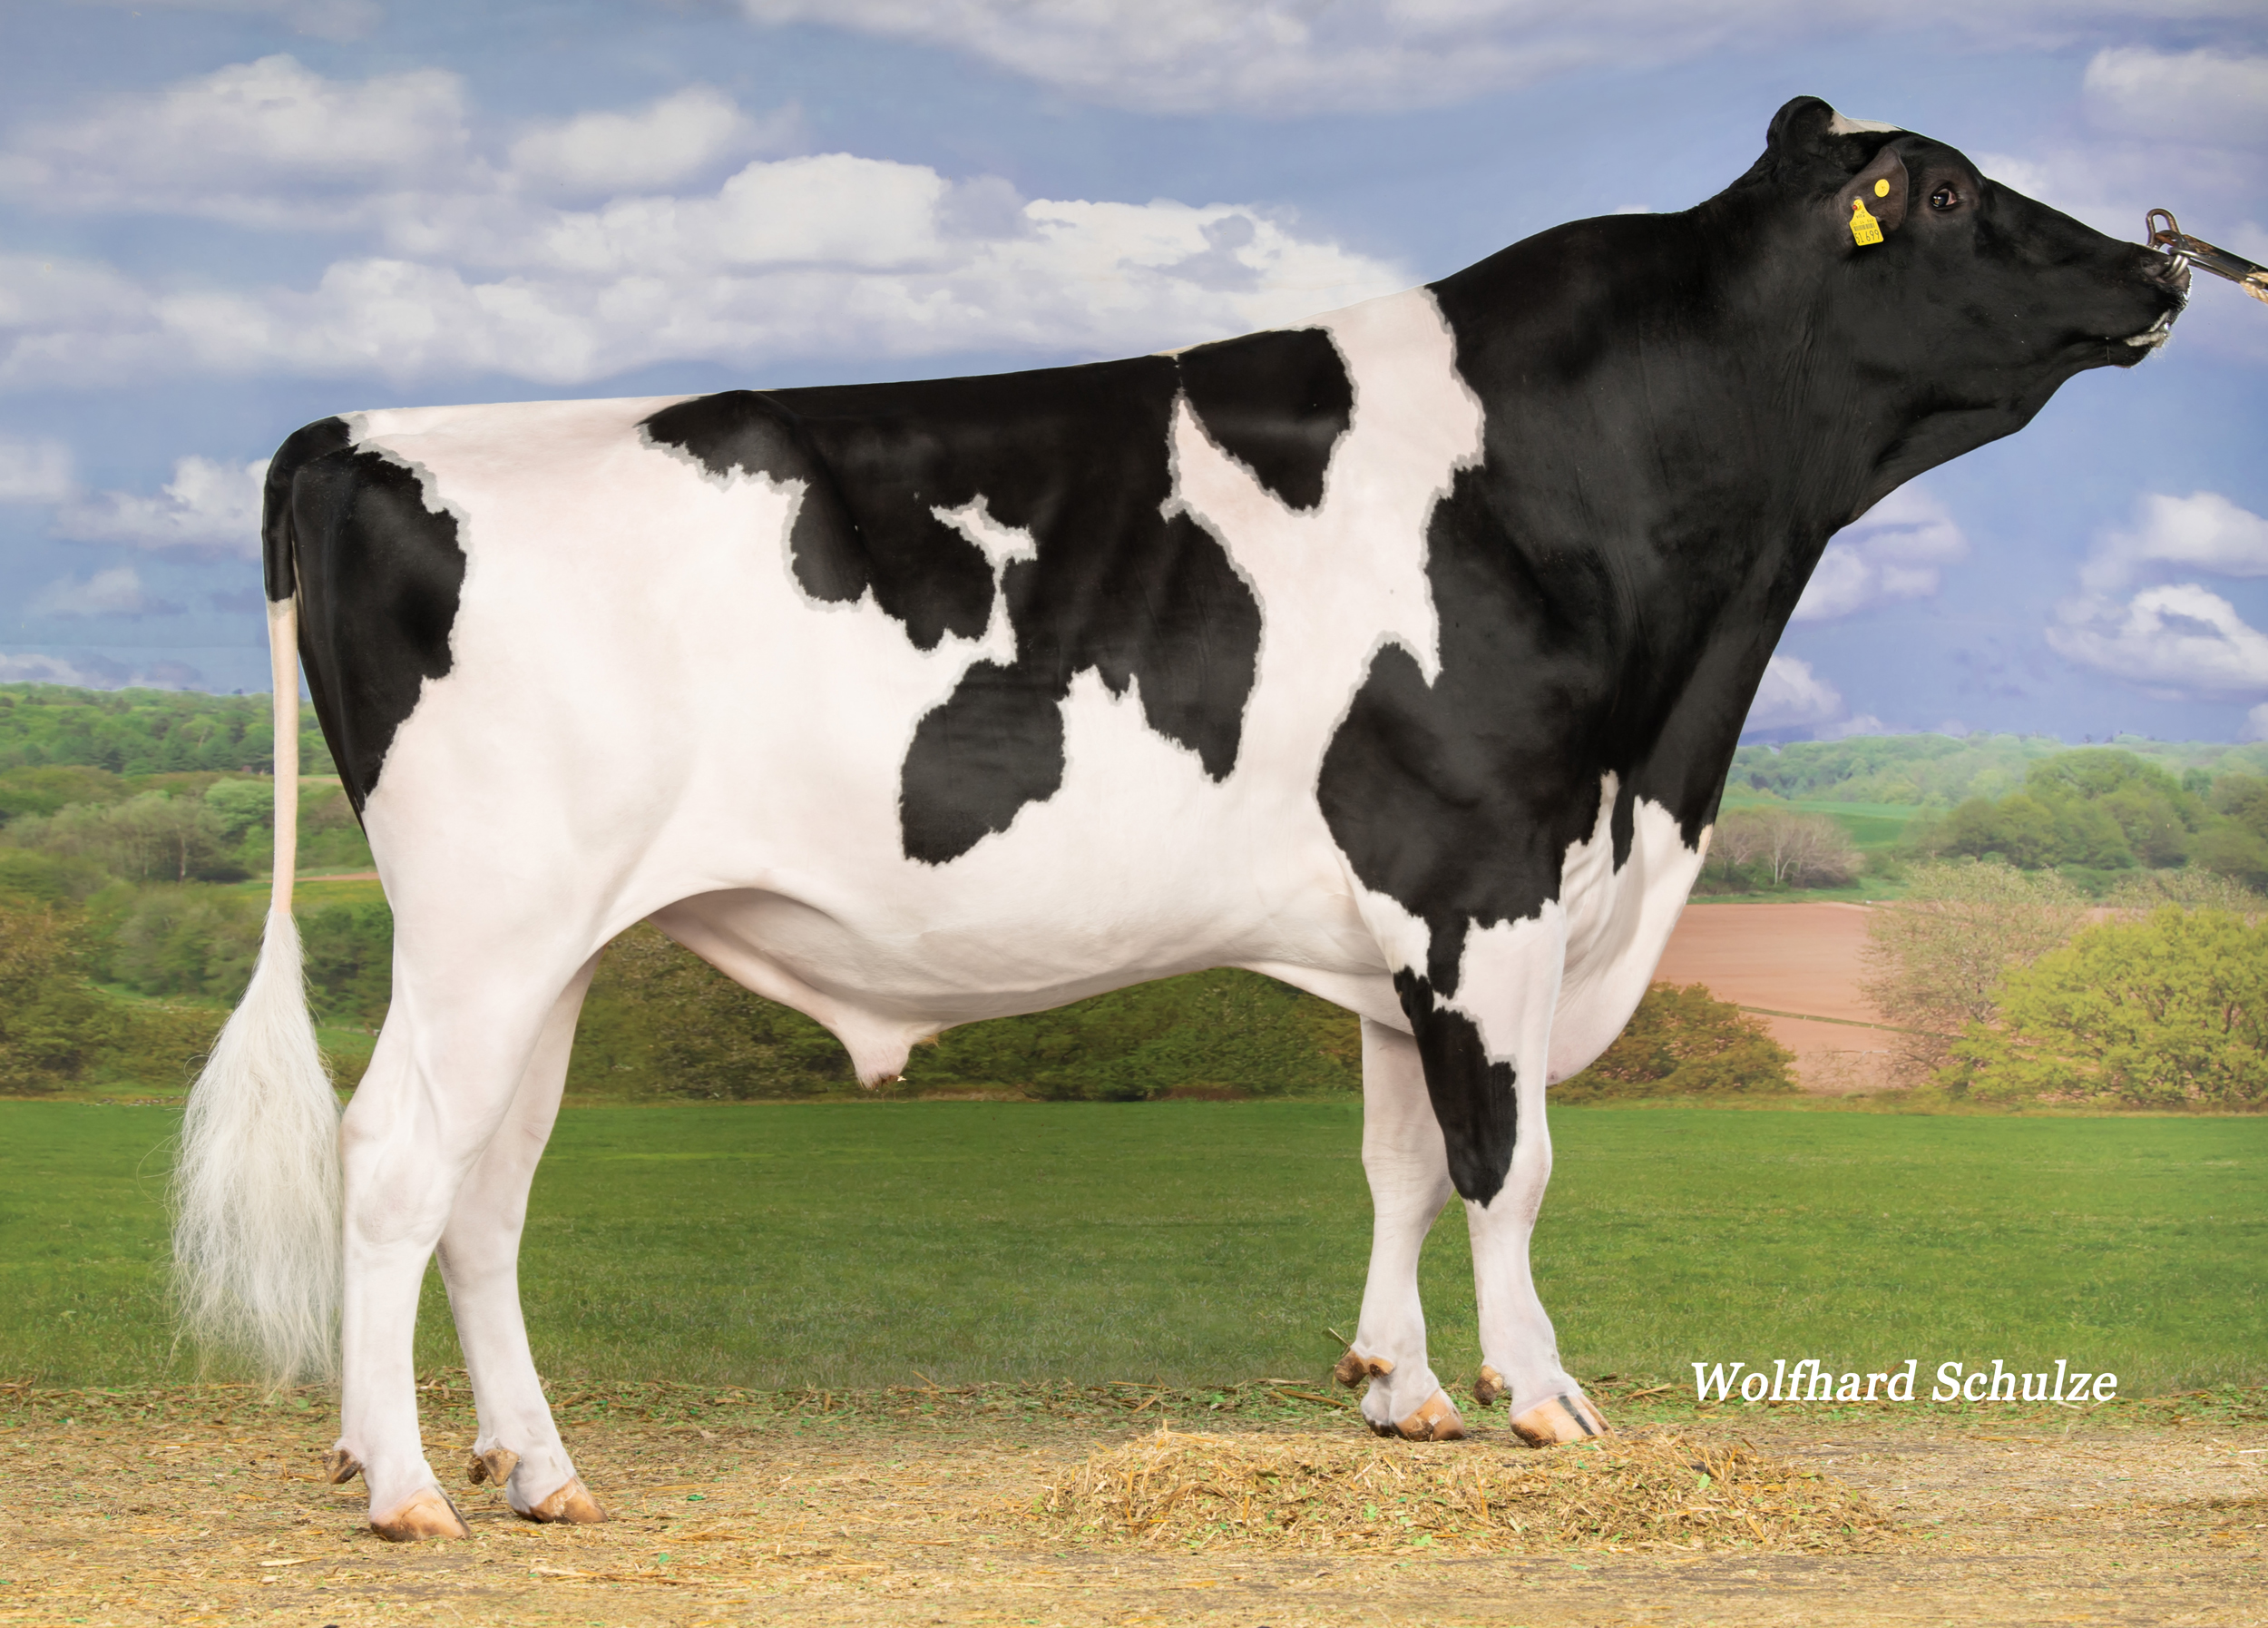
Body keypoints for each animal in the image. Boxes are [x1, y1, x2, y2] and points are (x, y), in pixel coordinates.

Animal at [173, 96, 2185, 1540]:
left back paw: (538, 1467)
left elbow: (1397, 1156)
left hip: (554, 942)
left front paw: (1399, 1389)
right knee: (396, 1160)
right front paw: (1544, 1399)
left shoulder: (1404, 915)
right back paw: (405, 1487)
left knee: (488, 1192)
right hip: (488, 919)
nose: (2160, 267)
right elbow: (1506, 1159)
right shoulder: (1493, 877)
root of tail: (365, 435)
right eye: (1941, 196)